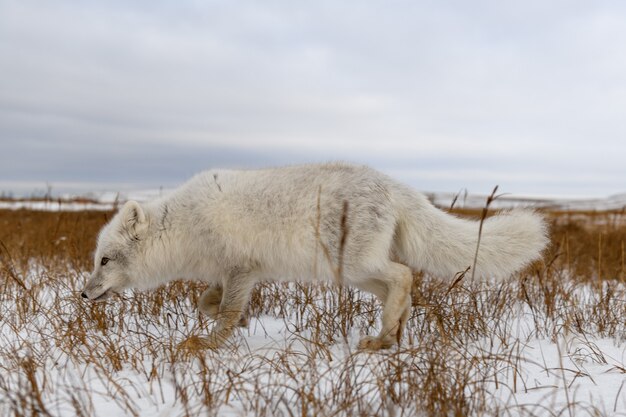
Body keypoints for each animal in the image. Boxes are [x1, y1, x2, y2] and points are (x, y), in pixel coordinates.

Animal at [80, 161, 544, 350]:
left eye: (104, 260)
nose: (83, 295)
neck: (183, 226)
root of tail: (394, 184)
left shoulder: (241, 269)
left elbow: (224, 312)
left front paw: (208, 344)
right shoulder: (231, 272)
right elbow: (207, 302)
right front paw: (239, 321)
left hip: (357, 265)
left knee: (404, 277)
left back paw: (383, 336)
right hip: (354, 274)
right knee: (404, 291)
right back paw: (389, 337)